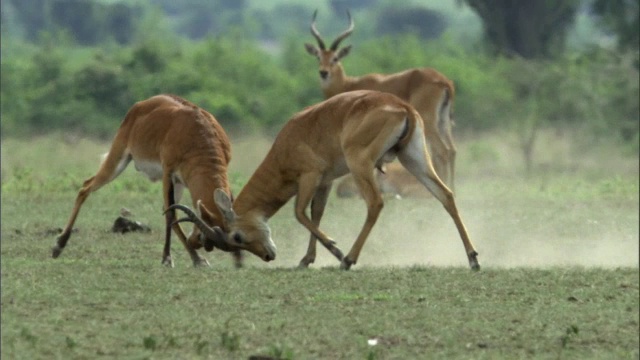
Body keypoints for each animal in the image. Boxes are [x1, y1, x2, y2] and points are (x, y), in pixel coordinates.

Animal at [51, 94, 276, 268]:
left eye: (236, 238)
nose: (195, 243)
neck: (197, 134)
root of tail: (140, 105)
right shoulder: (168, 173)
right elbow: (171, 215)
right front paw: (176, 259)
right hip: (118, 160)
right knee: (86, 187)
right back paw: (58, 246)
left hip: (175, 182)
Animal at [170, 91, 480, 272]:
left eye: (236, 237)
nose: (269, 256)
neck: (287, 143)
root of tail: (402, 107)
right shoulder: (325, 181)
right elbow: (316, 213)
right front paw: (306, 259)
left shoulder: (310, 176)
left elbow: (299, 213)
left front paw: (334, 249)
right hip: (413, 158)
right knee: (446, 195)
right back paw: (473, 258)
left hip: (361, 164)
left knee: (376, 203)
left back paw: (348, 260)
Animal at [304, 11, 458, 194]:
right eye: (318, 57)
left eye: (335, 58)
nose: (323, 72)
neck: (349, 84)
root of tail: (444, 81)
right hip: (443, 121)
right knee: (451, 150)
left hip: (428, 121)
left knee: (441, 151)